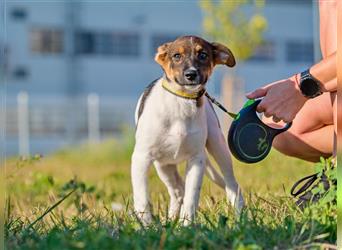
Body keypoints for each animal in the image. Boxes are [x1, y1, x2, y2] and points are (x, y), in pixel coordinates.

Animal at [130, 35, 243, 225]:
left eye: (203, 55)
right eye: (177, 56)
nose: (191, 74)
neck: (181, 101)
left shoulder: (196, 159)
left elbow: (192, 198)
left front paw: (188, 225)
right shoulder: (141, 158)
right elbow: (142, 198)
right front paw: (148, 226)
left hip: (218, 145)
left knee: (232, 184)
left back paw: (241, 216)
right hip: (163, 165)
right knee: (177, 191)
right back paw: (170, 221)